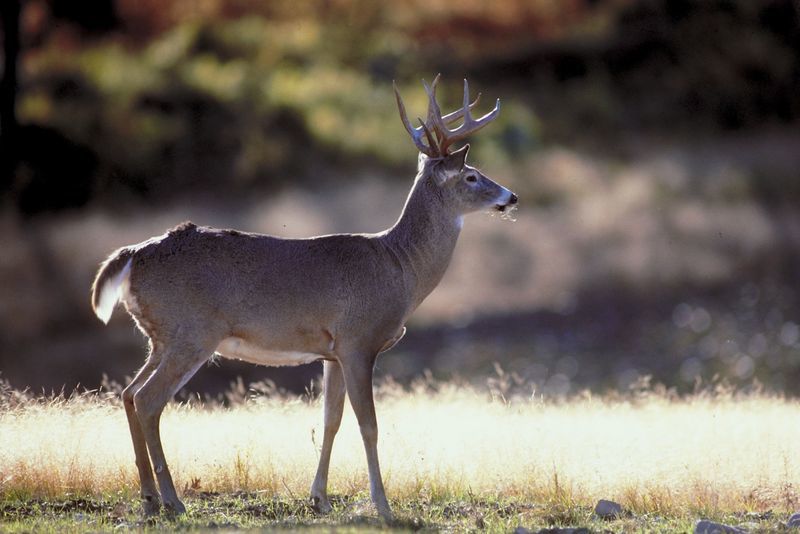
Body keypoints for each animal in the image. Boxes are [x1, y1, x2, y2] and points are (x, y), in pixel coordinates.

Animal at [92, 73, 520, 520]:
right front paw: (383, 507)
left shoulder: (331, 352)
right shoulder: (358, 340)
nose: (512, 197)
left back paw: (149, 498)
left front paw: (319, 499)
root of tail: (133, 255)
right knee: (148, 399)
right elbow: (369, 424)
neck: (400, 267)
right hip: (192, 332)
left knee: (127, 393)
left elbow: (331, 419)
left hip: (161, 336)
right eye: (471, 176)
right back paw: (173, 501)